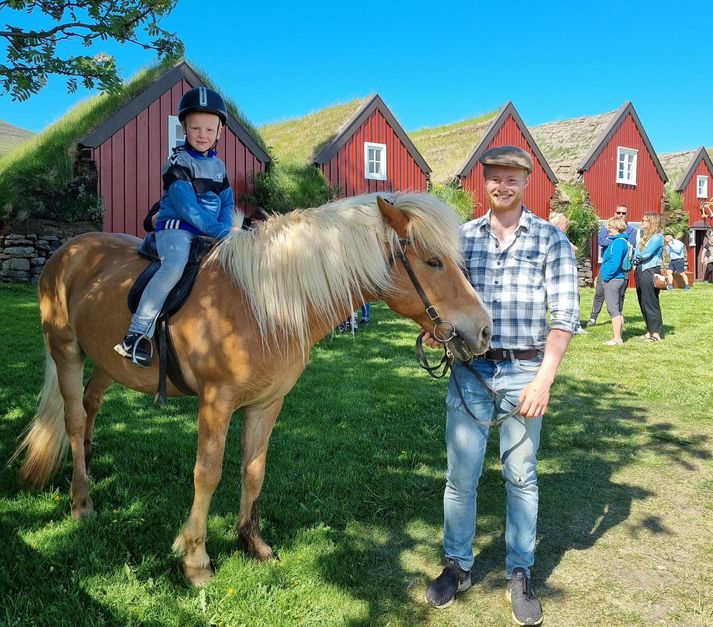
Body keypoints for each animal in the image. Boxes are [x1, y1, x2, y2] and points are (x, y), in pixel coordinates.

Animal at [12, 193, 490, 588]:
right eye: (433, 262)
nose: (484, 331)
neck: (265, 304)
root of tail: (69, 249)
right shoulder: (216, 403)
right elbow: (207, 473)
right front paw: (196, 559)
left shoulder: (267, 403)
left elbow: (253, 469)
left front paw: (252, 543)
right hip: (66, 350)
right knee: (74, 420)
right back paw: (81, 501)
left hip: (106, 361)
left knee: (91, 406)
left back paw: (89, 470)